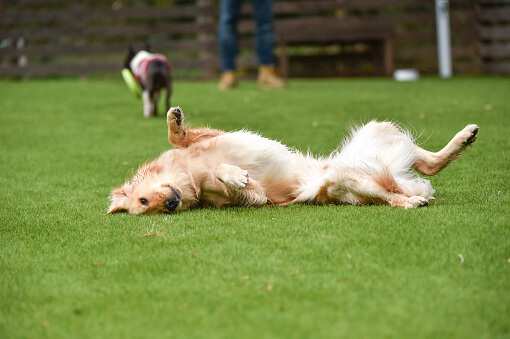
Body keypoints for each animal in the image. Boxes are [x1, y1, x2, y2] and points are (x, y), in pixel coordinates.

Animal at [107, 107, 478, 215]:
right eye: (149, 207)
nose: (170, 204)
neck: (188, 175)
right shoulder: (254, 196)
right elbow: (233, 181)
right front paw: (233, 176)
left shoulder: (207, 137)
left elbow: (179, 136)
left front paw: (174, 120)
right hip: (347, 178)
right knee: (397, 192)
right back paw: (414, 200)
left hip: (379, 131)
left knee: (428, 163)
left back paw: (466, 135)